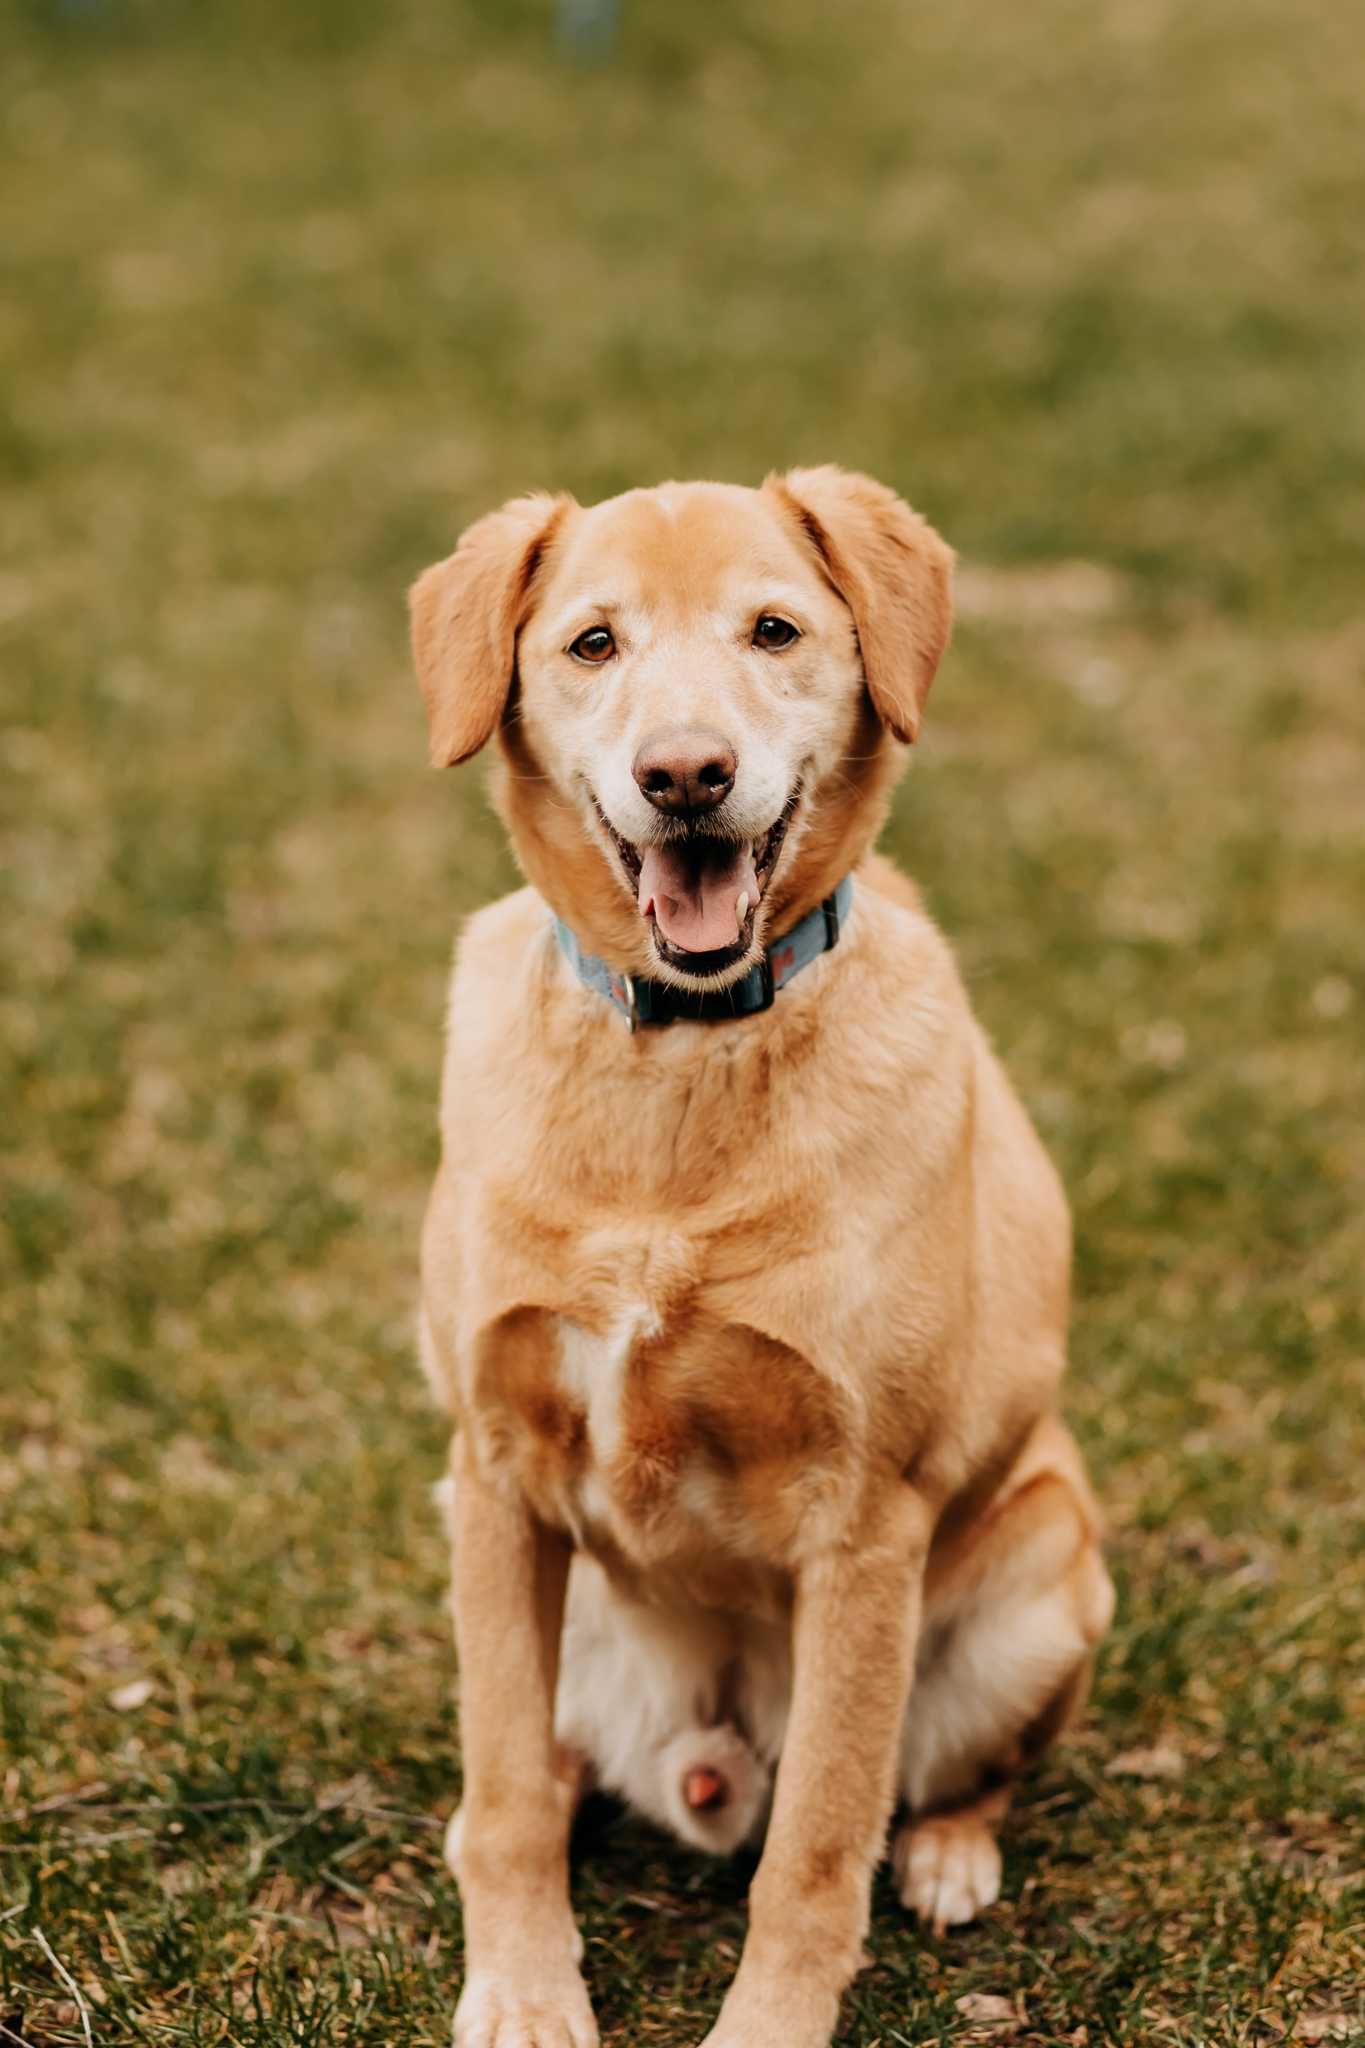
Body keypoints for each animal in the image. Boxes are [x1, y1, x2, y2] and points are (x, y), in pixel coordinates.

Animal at [411, 468, 1113, 2048]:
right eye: (593, 642)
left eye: (774, 630)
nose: (685, 774)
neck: (679, 1056)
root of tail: (707, 1763)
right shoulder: (495, 1464)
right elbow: (504, 1790)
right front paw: (524, 1988)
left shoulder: (866, 1523)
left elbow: (818, 1848)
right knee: (530, 1772)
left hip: (1046, 1581)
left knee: (933, 1785)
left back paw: (949, 1854)